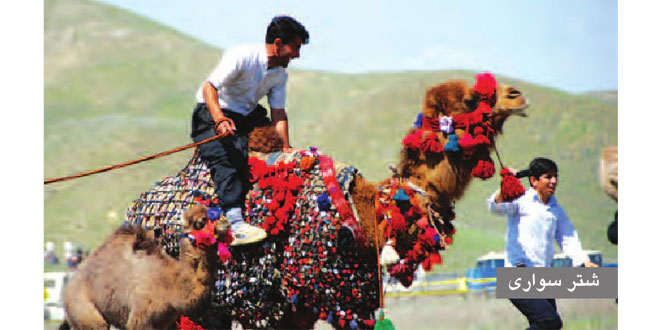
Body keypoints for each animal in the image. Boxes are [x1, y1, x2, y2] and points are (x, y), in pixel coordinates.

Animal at [60, 205, 228, 328]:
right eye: (200, 221)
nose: (225, 222)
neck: (171, 283)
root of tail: (66, 293)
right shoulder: (140, 320)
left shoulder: (164, 323)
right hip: (88, 317)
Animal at [122, 73, 524, 330]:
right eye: (469, 99)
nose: (516, 95)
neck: (363, 214)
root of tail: (135, 211)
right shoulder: (280, 305)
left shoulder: (345, 302)